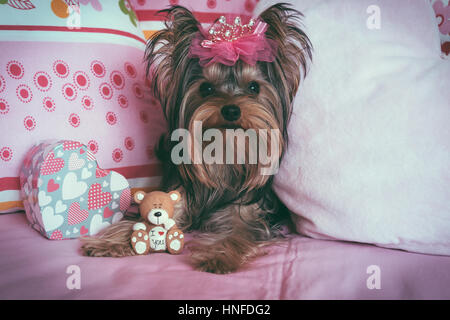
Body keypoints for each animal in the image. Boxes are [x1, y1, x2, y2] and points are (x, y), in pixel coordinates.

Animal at [81, 2, 312, 274]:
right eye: (206, 88)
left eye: (254, 87)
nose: (231, 110)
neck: (225, 153)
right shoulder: (178, 195)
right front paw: (112, 243)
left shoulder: (248, 213)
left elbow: (238, 234)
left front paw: (218, 257)